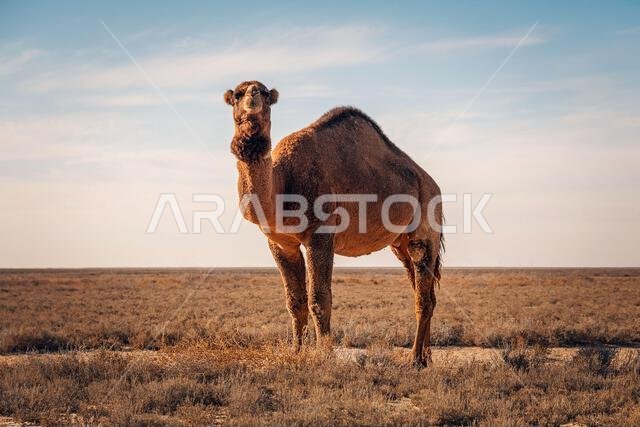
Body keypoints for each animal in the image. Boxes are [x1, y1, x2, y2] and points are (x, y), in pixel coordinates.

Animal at [224, 80, 443, 367]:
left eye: (264, 93)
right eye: (237, 94)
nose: (252, 96)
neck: (282, 182)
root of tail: (433, 184)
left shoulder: (320, 234)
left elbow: (320, 299)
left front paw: (324, 354)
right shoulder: (280, 243)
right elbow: (295, 302)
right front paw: (296, 352)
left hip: (426, 228)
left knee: (423, 297)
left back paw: (416, 359)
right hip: (401, 244)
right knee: (424, 291)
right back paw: (427, 357)